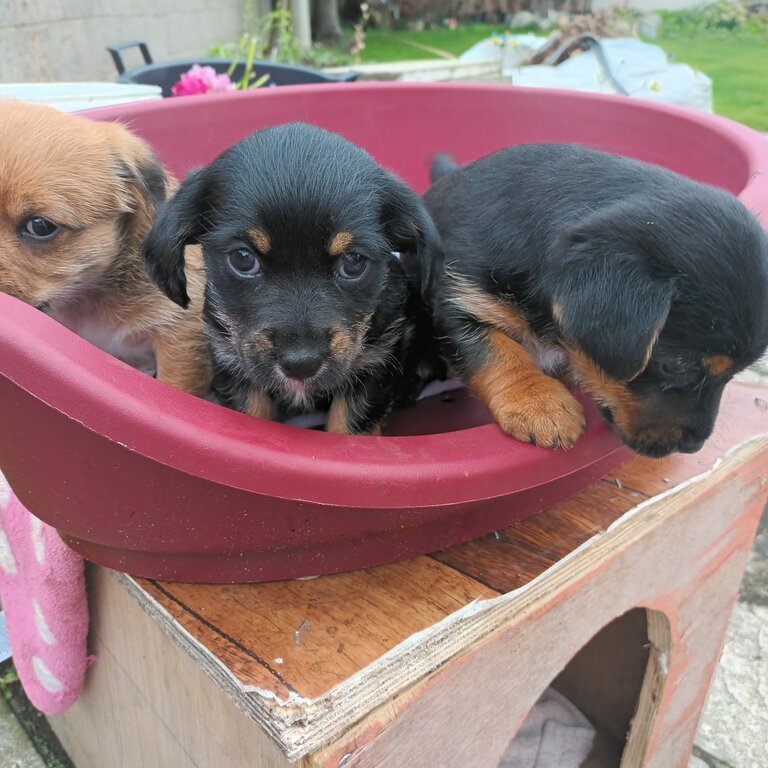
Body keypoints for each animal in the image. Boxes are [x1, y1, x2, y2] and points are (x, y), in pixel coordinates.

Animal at [143, 120, 440, 432]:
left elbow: (347, 426)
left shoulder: (375, 361)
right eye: (243, 258)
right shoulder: (234, 362)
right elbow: (253, 414)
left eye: (354, 262)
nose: (301, 364)